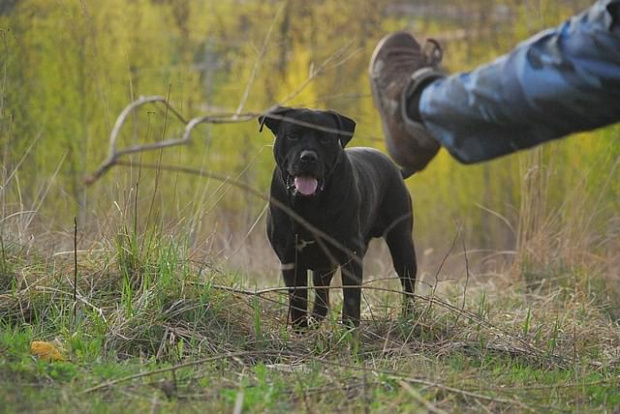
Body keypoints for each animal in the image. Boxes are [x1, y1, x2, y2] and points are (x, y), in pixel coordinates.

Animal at [256, 108, 416, 328]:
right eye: (293, 135)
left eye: (325, 139)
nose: (308, 157)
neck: (309, 205)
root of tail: (396, 169)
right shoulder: (290, 257)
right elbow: (298, 299)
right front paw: (299, 329)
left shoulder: (350, 254)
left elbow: (351, 297)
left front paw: (350, 329)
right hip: (324, 265)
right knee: (321, 295)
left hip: (401, 242)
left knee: (408, 284)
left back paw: (409, 319)